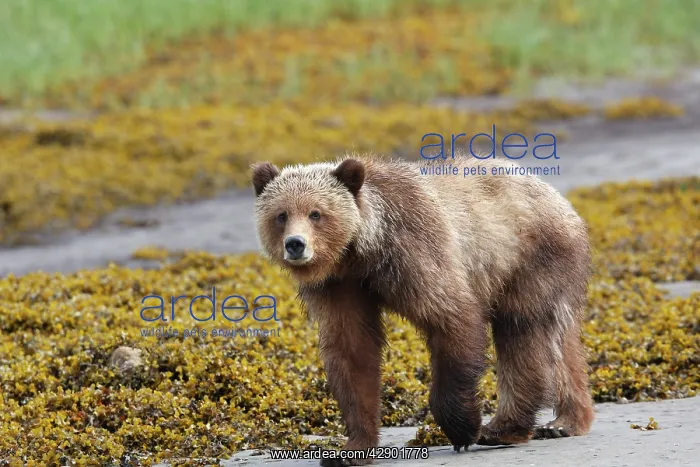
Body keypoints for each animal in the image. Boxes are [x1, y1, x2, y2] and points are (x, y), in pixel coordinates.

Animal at [251, 154, 595, 465]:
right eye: (281, 214)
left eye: (316, 213)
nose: (296, 244)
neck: (362, 252)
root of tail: (558, 198)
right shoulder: (339, 286)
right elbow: (352, 351)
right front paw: (350, 450)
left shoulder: (415, 251)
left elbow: (450, 316)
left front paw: (462, 428)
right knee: (560, 343)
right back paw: (565, 420)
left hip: (527, 258)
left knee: (524, 333)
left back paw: (503, 428)